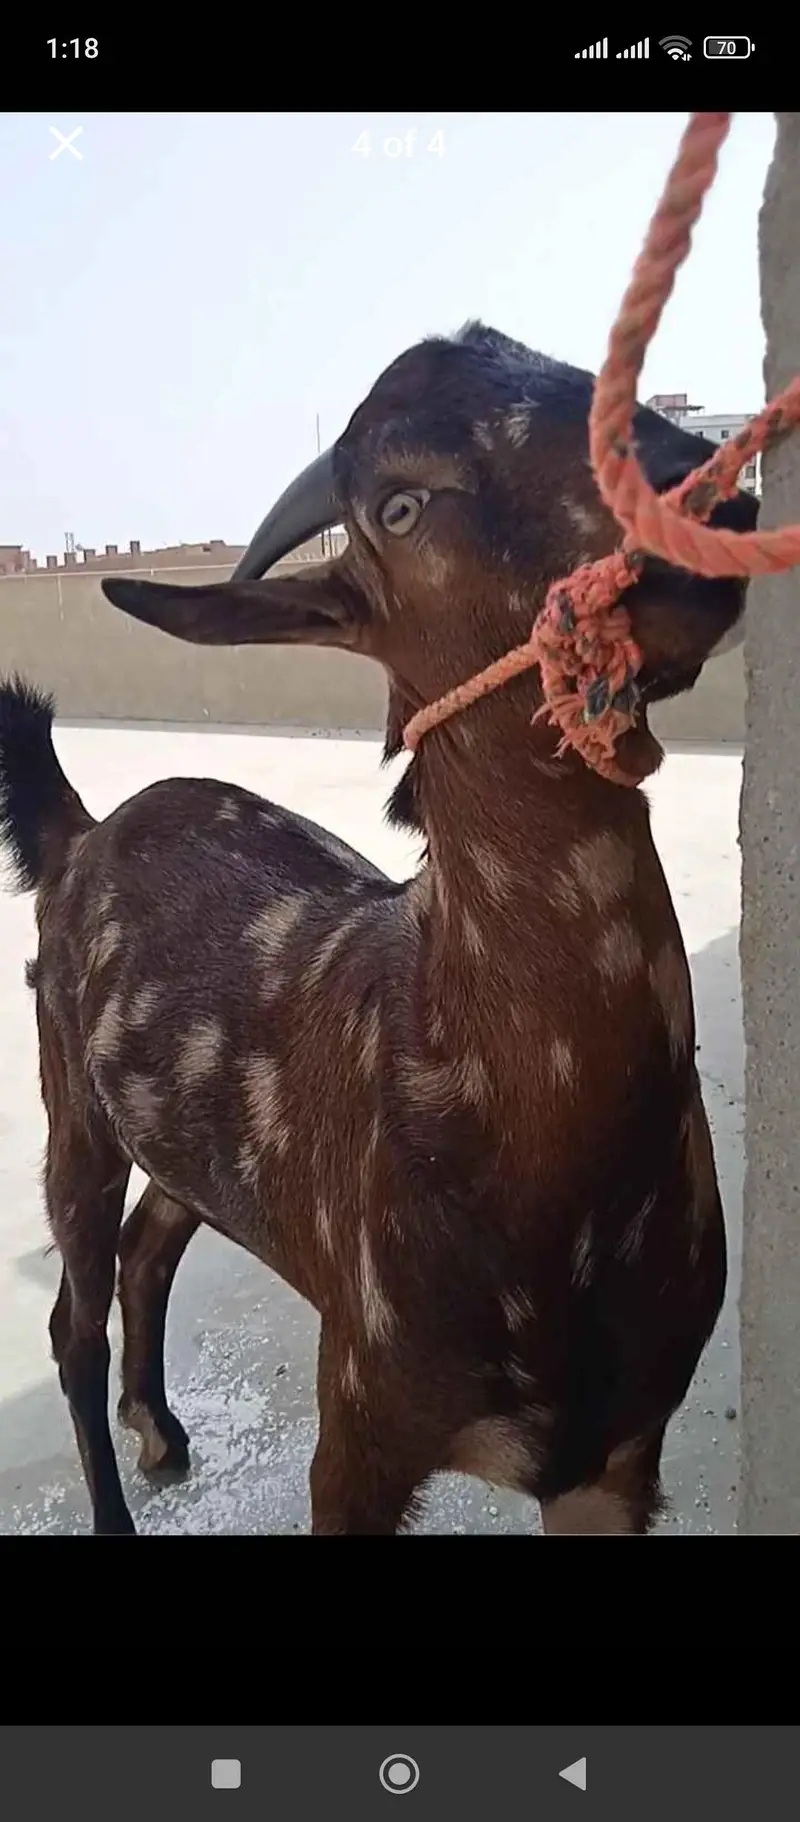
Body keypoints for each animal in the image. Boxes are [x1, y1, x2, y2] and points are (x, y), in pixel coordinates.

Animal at [0, 322, 758, 1536]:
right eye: (397, 506)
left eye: (592, 381)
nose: (708, 501)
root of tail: (81, 828)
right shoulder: (358, 1411)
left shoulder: (620, 1449)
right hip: (71, 1096)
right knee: (72, 1314)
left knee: (151, 1240)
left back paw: (161, 1431)